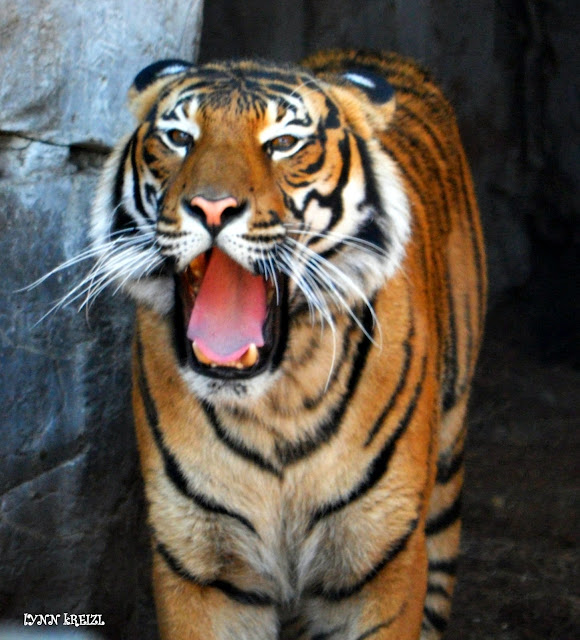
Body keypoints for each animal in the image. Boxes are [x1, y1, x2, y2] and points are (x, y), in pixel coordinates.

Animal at [90, 49, 486, 639]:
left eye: (282, 143)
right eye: (180, 137)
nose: (211, 207)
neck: (275, 406)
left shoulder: (377, 560)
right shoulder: (201, 564)